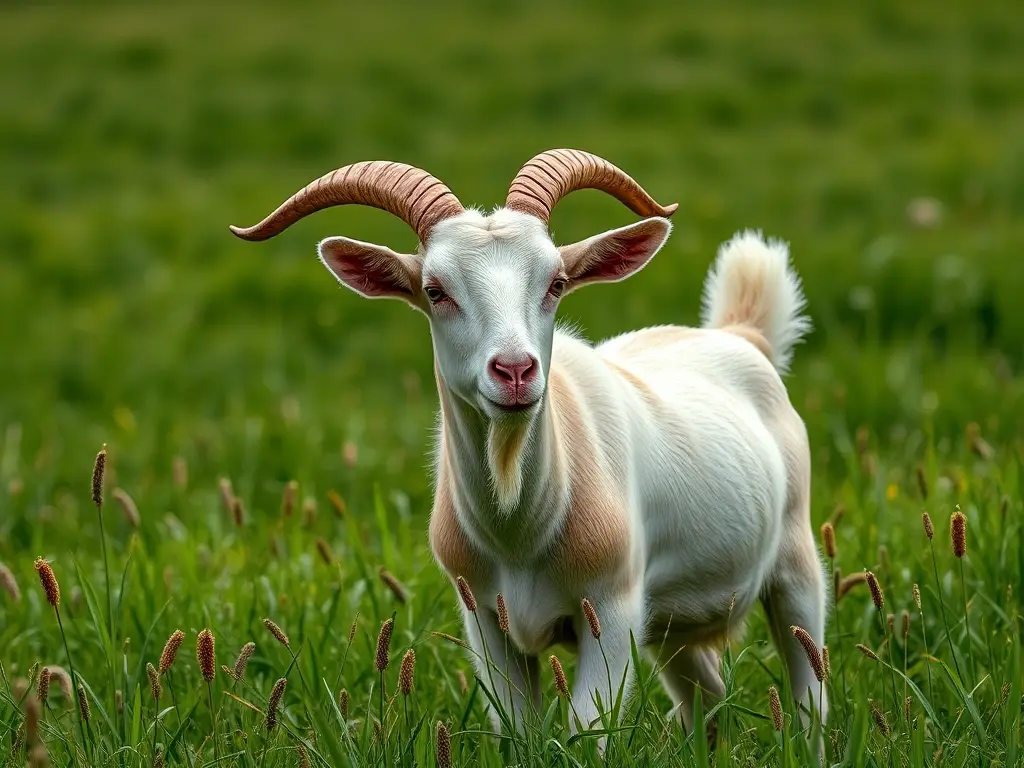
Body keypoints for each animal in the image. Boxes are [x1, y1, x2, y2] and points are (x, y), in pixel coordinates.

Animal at [230, 149, 826, 738]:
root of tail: (742, 336)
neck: (521, 529)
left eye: (556, 282)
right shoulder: (486, 619)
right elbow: (518, 729)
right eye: (435, 291)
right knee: (707, 698)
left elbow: (587, 728)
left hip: (796, 560)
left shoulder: (612, 609)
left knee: (810, 696)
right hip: (671, 624)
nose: (515, 371)